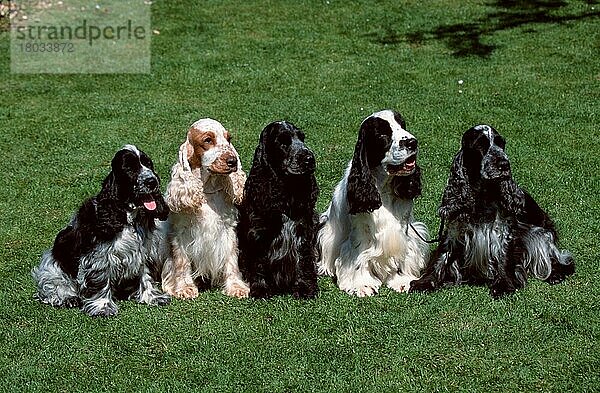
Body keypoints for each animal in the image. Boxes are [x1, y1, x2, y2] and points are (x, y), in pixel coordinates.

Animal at [161, 118, 250, 298]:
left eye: (228, 139)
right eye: (208, 140)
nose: (233, 162)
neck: (208, 189)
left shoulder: (228, 229)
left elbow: (231, 259)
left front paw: (236, 287)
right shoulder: (180, 232)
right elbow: (181, 261)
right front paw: (184, 288)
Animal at [239, 119, 322, 298]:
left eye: (302, 138)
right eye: (283, 142)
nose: (309, 159)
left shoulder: (304, 229)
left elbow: (304, 259)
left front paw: (305, 287)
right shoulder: (258, 232)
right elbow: (259, 262)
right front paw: (260, 289)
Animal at [318, 108, 426, 296]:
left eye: (403, 125)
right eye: (382, 133)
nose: (412, 142)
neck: (382, 187)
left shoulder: (402, 227)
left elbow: (403, 253)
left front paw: (402, 280)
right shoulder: (359, 228)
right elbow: (358, 254)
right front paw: (361, 285)